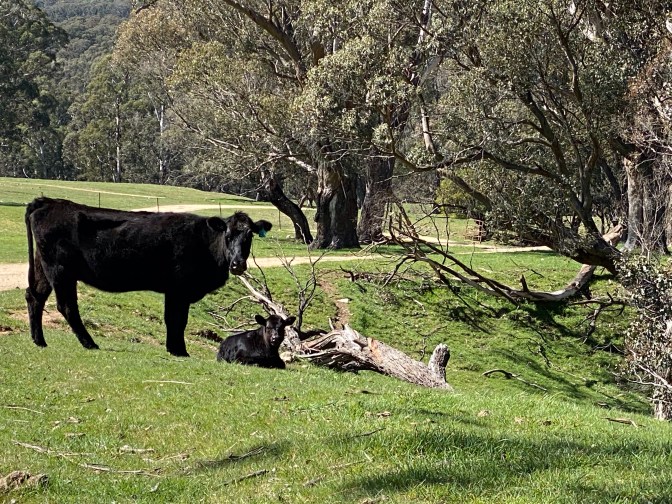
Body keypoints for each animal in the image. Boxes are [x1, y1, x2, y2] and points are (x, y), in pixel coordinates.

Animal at [24, 197, 272, 357]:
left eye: (249, 236)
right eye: (227, 235)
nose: (237, 264)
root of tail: (48, 202)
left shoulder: (175, 291)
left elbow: (174, 320)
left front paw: (174, 348)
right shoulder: (178, 290)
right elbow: (177, 320)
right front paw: (179, 351)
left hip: (44, 265)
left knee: (35, 296)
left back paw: (39, 341)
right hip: (61, 270)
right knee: (66, 306)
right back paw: (89, 343)